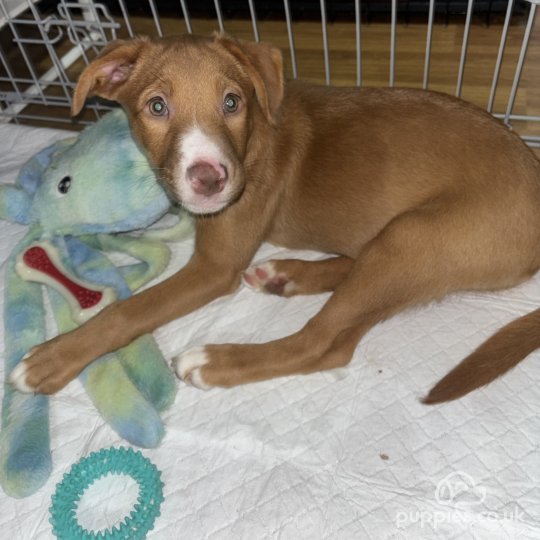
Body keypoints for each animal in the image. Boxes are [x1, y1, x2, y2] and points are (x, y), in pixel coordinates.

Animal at [7, 33, 540, 400]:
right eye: (157, 106)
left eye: (231, 101)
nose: (209, 179)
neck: (254, 138)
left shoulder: (215, 267)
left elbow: (127, 311)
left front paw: (54, 357)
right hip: (401, 243)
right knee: (352, 288)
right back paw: (286, 274)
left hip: (414, 236)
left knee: (322, 343)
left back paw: (216, 361)